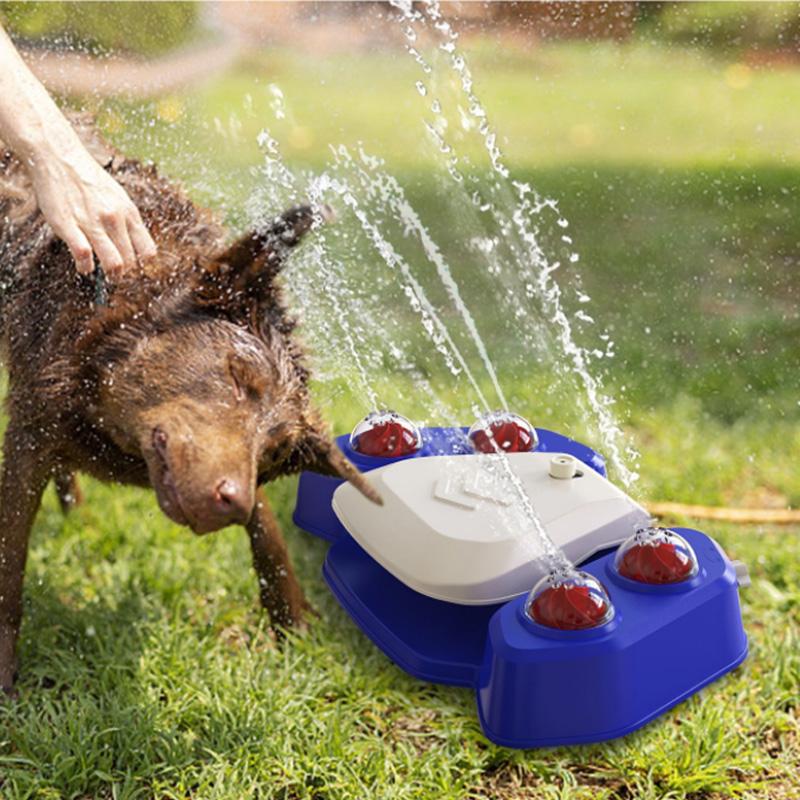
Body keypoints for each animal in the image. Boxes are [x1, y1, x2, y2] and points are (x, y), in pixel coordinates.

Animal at [0, 117, 378, 692]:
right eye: (238, 375)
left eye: (275, 450)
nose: (231, 503)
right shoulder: (31, 429)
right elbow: (10, 567)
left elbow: (269, 531)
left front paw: (293, 627)